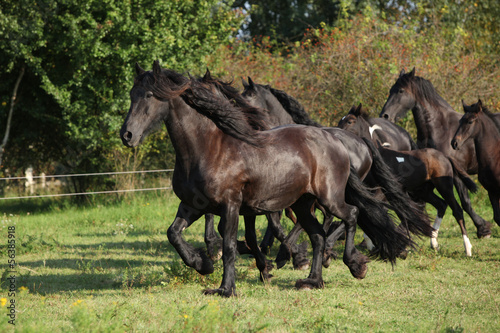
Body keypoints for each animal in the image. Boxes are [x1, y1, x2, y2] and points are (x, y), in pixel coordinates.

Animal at [122, 62, 418, 296]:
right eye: (131, 94)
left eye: (149, 95)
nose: (127, 135)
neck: (208, 147)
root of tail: (337, 140)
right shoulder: (194, 205)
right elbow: (174, 234)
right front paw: (203, 264)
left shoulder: (232, 205)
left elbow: (231, 244)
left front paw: (226, 288)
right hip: (303, 203)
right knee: (318, 235)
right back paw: (312, 280)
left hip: (329, 198)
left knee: (351, 215)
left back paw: (353, 265)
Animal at [454, 98, 500, 227]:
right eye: (460, 121)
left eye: (470, 122)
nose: (454, 143)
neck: (494, 159)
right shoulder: (492, 191)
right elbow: (497, 218)